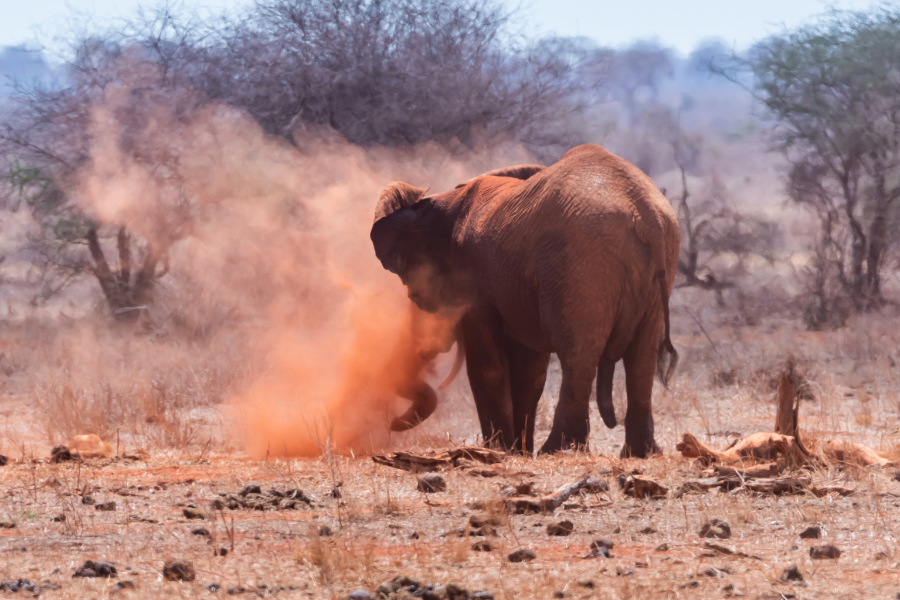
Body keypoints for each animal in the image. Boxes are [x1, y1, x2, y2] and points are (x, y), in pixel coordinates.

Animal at [372, 144, 679, 458]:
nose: (392, 423)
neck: (442, 204)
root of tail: (646, 213)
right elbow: (529, 374)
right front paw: (518, 451)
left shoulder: (474, 282)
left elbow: (488, 367)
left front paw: (500, 449)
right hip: (653, 268)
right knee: (642, 358)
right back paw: (640, 452)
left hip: (580, 264)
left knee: (579, 355)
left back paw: (556, 450)